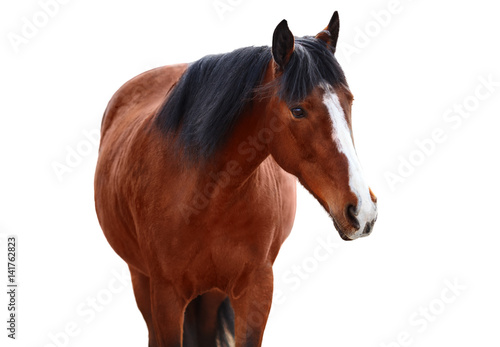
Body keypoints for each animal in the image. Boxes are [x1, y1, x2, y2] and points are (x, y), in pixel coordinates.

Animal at [94, 10, 376, 347]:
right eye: (297, 110)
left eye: (349, 100)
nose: (362, 210)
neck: (205, 197)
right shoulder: (165, 296)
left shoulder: (256, 289)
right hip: (141, 280)